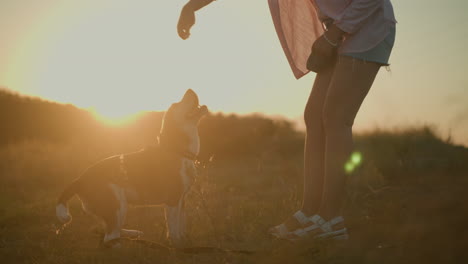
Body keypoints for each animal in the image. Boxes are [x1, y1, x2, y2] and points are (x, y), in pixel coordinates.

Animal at [55, 89, 208, 248]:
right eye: (176, 104)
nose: (190, 90)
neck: (177, 151)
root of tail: (79, 179)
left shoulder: (182, 200)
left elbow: (181, 225)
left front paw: (184, 242)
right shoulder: (173, 200)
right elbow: (174, 229)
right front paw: (177, 246)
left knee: (109, 230)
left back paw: (133, 234)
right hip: (118, 206)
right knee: (110, 237)